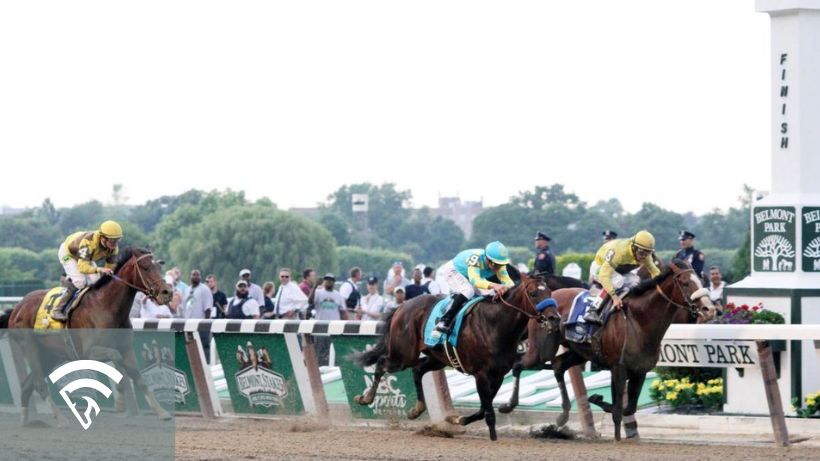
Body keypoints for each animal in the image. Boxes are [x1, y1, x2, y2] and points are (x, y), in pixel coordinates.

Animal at [0, 248, 173, 424]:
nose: (167, 292)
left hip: (49, 355)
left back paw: (25, 421)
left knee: (27, 385)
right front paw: (120, 401)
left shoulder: (126, 348)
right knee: (39, 384)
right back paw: (61, 419)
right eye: (145, 267)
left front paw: (162, 412)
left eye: (158, 267)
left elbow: (137, 376)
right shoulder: (88, 352)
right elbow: (116, 357)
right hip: (30, 348)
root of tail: (16, 308)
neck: (106, 306)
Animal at [350, 274, 556, 438]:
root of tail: (402, 306)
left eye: (550, 292)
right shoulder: (481, 374)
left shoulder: (497, 375)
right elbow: (488, 412)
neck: (496, 325)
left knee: (417, 369)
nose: (554, 318)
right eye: (533, 293)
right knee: (382, 363)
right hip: (403, 355)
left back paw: (416, 410)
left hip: (438, 358)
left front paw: (457, 419)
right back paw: (365, 398)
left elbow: (483, 408)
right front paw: (493, 438)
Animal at [496, 258, 716, 438]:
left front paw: (598, 400)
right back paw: (508, 405)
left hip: (578, 352)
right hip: (541, 351)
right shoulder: (618, 367)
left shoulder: (640, 370)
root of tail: (547, 300)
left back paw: (563, 414)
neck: (639, 320)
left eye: (700, 280)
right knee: (518, 365)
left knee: (558, 366)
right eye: (685, 282)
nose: (709, 309)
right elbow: (619, 409)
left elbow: (628, 408)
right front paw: (615, 433)